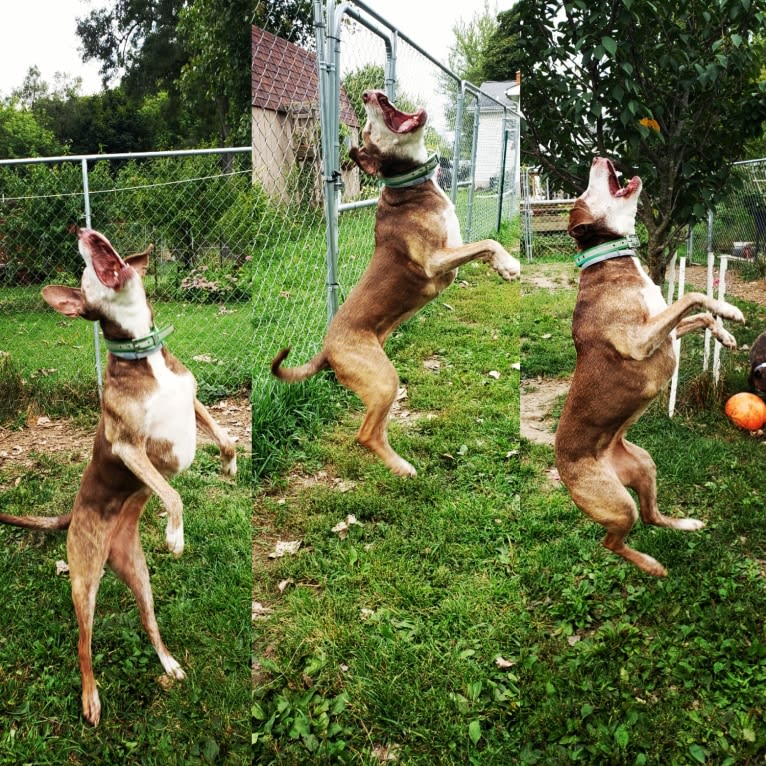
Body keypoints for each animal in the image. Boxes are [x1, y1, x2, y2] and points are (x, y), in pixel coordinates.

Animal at [0, 228, 237, 728]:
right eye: (84, 274)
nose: (82, 232)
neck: (144, 355)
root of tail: (73, 517)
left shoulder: (193, 403)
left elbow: (226, 437)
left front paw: (229, 464)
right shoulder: (129, 447)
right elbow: (171, 493)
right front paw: (175, 534)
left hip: (138, 574)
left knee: (149, 621)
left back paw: (167, 662)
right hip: (83, 581)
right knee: (83, 644)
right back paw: (90, 698)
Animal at [272, 88, 520, 474]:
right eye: (368, 130)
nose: (367, 93)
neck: (409, 185)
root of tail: (327, 350)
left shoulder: (453, 252)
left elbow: (482, 248)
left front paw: (501, 266)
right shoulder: (435, 261)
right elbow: (488, 242)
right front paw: (509, 265)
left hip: (382, 383)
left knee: (377, 428)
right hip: (384, 379)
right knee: (365, 434)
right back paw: (402, 467)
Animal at [556, 159, 748, 580]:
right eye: (585, 192)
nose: (598, 159)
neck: (609, 261)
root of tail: (561, 469)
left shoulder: (665, 331)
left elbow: (698, 315)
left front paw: (725, 332)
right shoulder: (640, 340)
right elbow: (693, 295)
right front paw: (730, 311)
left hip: (645, 465)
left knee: (652, 517)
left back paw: (686, 525)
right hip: (616, 504)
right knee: (612, 541)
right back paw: (652, 566)